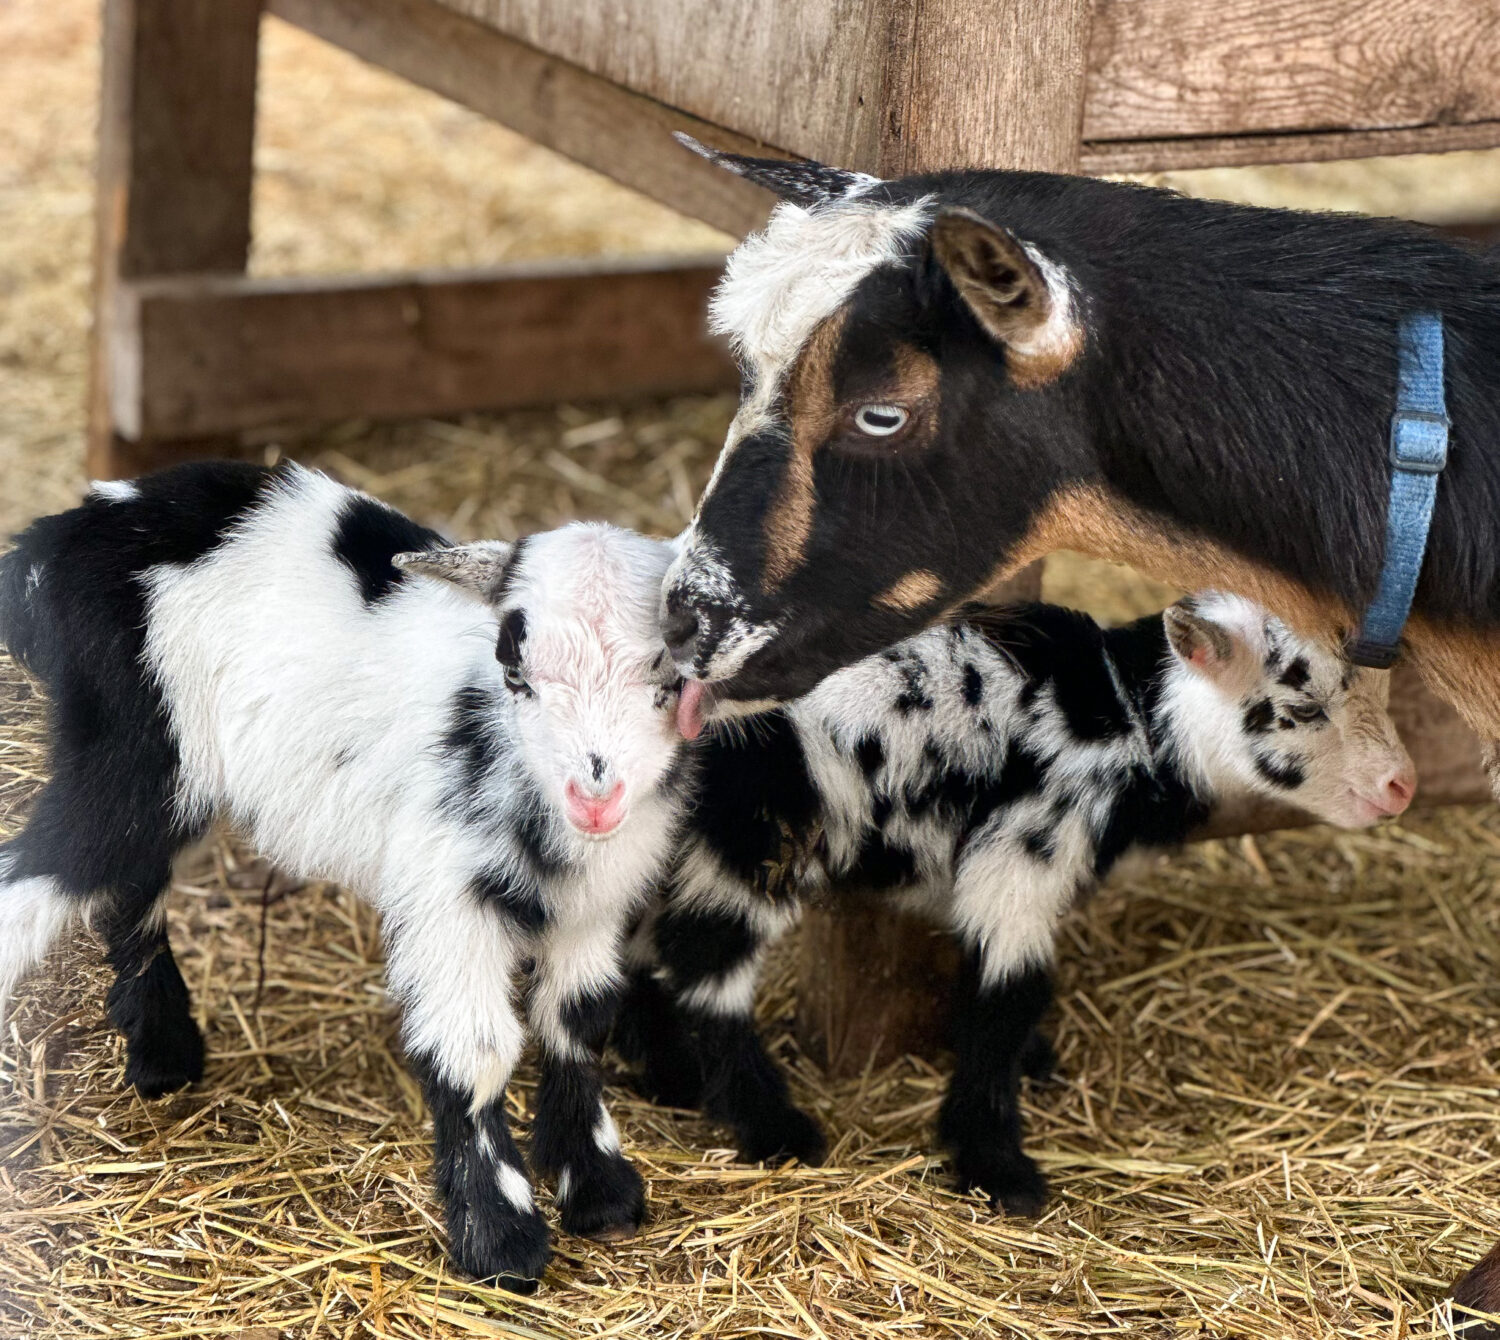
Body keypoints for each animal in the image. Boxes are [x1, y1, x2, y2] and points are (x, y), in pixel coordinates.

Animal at [0, 461, 691, 1290]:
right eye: (514, 669)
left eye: (667, 673)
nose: (596, 794)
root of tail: (62, 534)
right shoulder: (445, 895)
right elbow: (477, 1053)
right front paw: (501, 1240)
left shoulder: (596, 902)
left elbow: (579, 1022)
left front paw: (598, 1188)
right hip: (133, 744)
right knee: (56, 867)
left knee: (131, 883)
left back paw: (164, 1051)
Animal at [618, 593, 1413, 1213]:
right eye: (1304, 707)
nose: (1400, 787)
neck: (1130, 716)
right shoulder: (1027, 847)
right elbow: (1012, 991)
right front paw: (995, 1167)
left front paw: (1025, 1068)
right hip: (759, 830)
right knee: (703, 964)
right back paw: (770, 1126)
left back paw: (670, 1075)